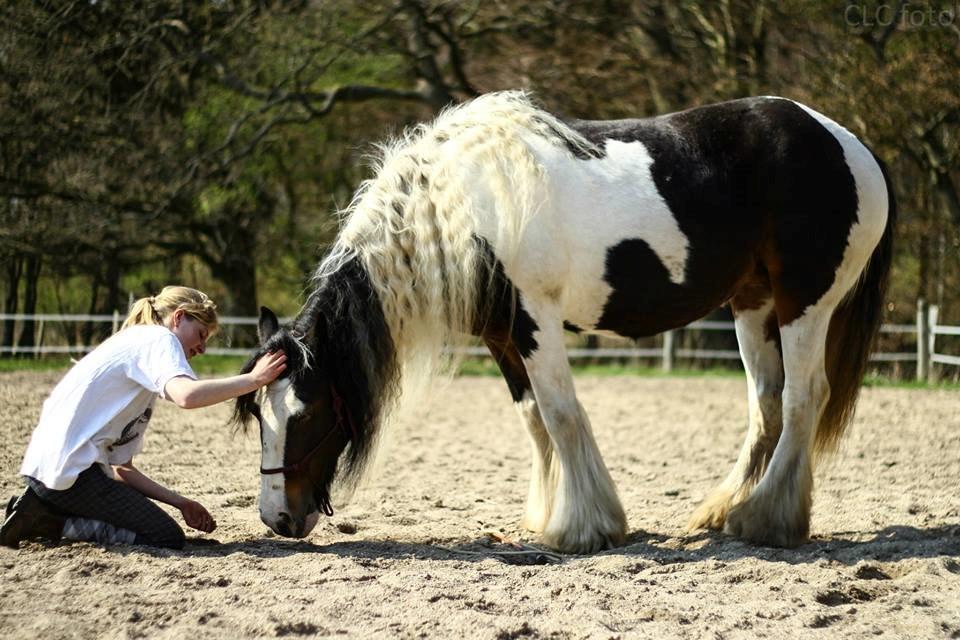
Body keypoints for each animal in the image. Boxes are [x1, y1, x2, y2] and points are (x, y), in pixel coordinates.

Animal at [236, 91, 896, 556]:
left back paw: (767, 521)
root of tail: (849, 143)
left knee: (805, 398)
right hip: (752, 305)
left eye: (307, 415)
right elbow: (533, 419)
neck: (463, 208)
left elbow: (561, 414)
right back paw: (724, 511)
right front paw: (549, 514)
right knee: (767, 404)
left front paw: (585, 528)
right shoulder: (503, 337)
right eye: (258, 415)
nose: (277, 518)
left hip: (805, 304)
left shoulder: (536, 320)